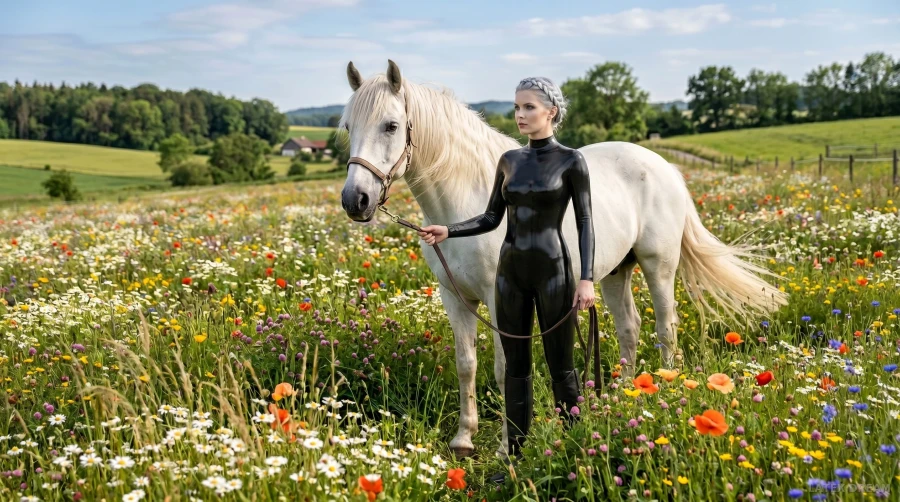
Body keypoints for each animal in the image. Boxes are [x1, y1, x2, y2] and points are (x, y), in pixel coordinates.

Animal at [338, 59, 788, 459]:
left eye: (391, 125)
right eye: (348, 127)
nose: (355, 200)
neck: (463, 198)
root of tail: (664, 166)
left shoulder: (499, 301)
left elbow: (504, 368)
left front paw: (505, 446)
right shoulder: (456, 299)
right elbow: (466, 364)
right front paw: (464, 439)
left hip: (658, 266)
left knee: (666, 328)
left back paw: (664, 387)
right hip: (615, 273)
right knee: (629, 327)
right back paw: (625, 396)